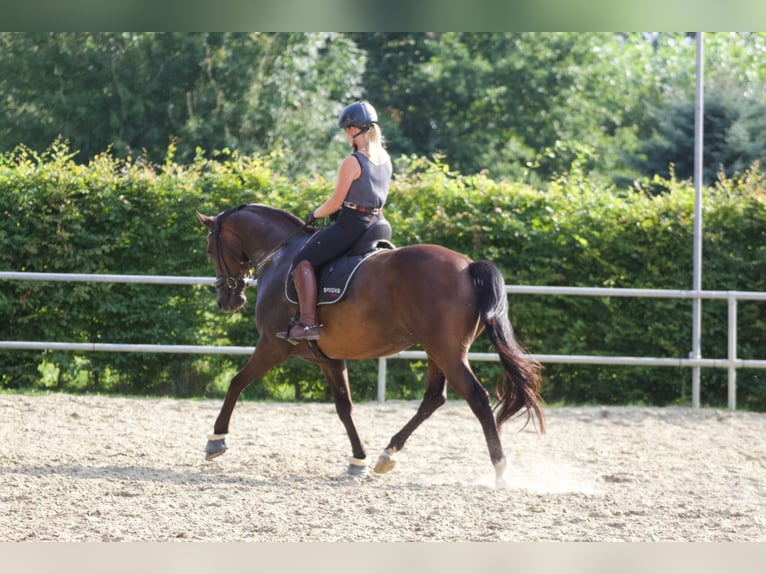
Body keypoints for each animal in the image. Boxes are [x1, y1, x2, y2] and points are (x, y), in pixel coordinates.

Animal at [196, 204, 545, 486]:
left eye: (211, 250)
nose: (228, 300)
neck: (281, 253)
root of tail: (468, 265)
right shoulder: (328, 358)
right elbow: (344, 407)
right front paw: (358, 460)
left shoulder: (272, 345)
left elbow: (237, 382)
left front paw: (216, 439)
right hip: (437, 351)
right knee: (434, 397)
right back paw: (387, 454)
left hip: (447, 352)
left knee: (477, 397)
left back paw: (500, 468)